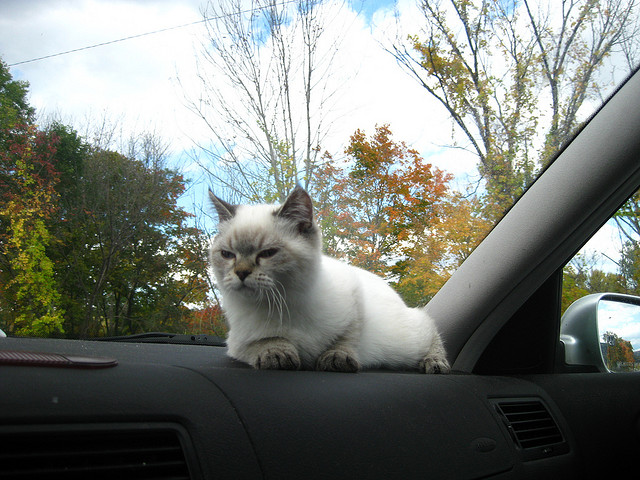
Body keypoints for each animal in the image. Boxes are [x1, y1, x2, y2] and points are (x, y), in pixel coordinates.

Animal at [209, 186, 450, 374]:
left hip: (409, 339)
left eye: (268, 253)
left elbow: (345, 338)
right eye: (228, 255)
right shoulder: (237, 342)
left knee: (429, 326)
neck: (281, 302)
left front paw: (336, 358)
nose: (241, 273)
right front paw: (276, 353)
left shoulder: (354, 296)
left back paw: (436, 362)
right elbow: (265, 341)